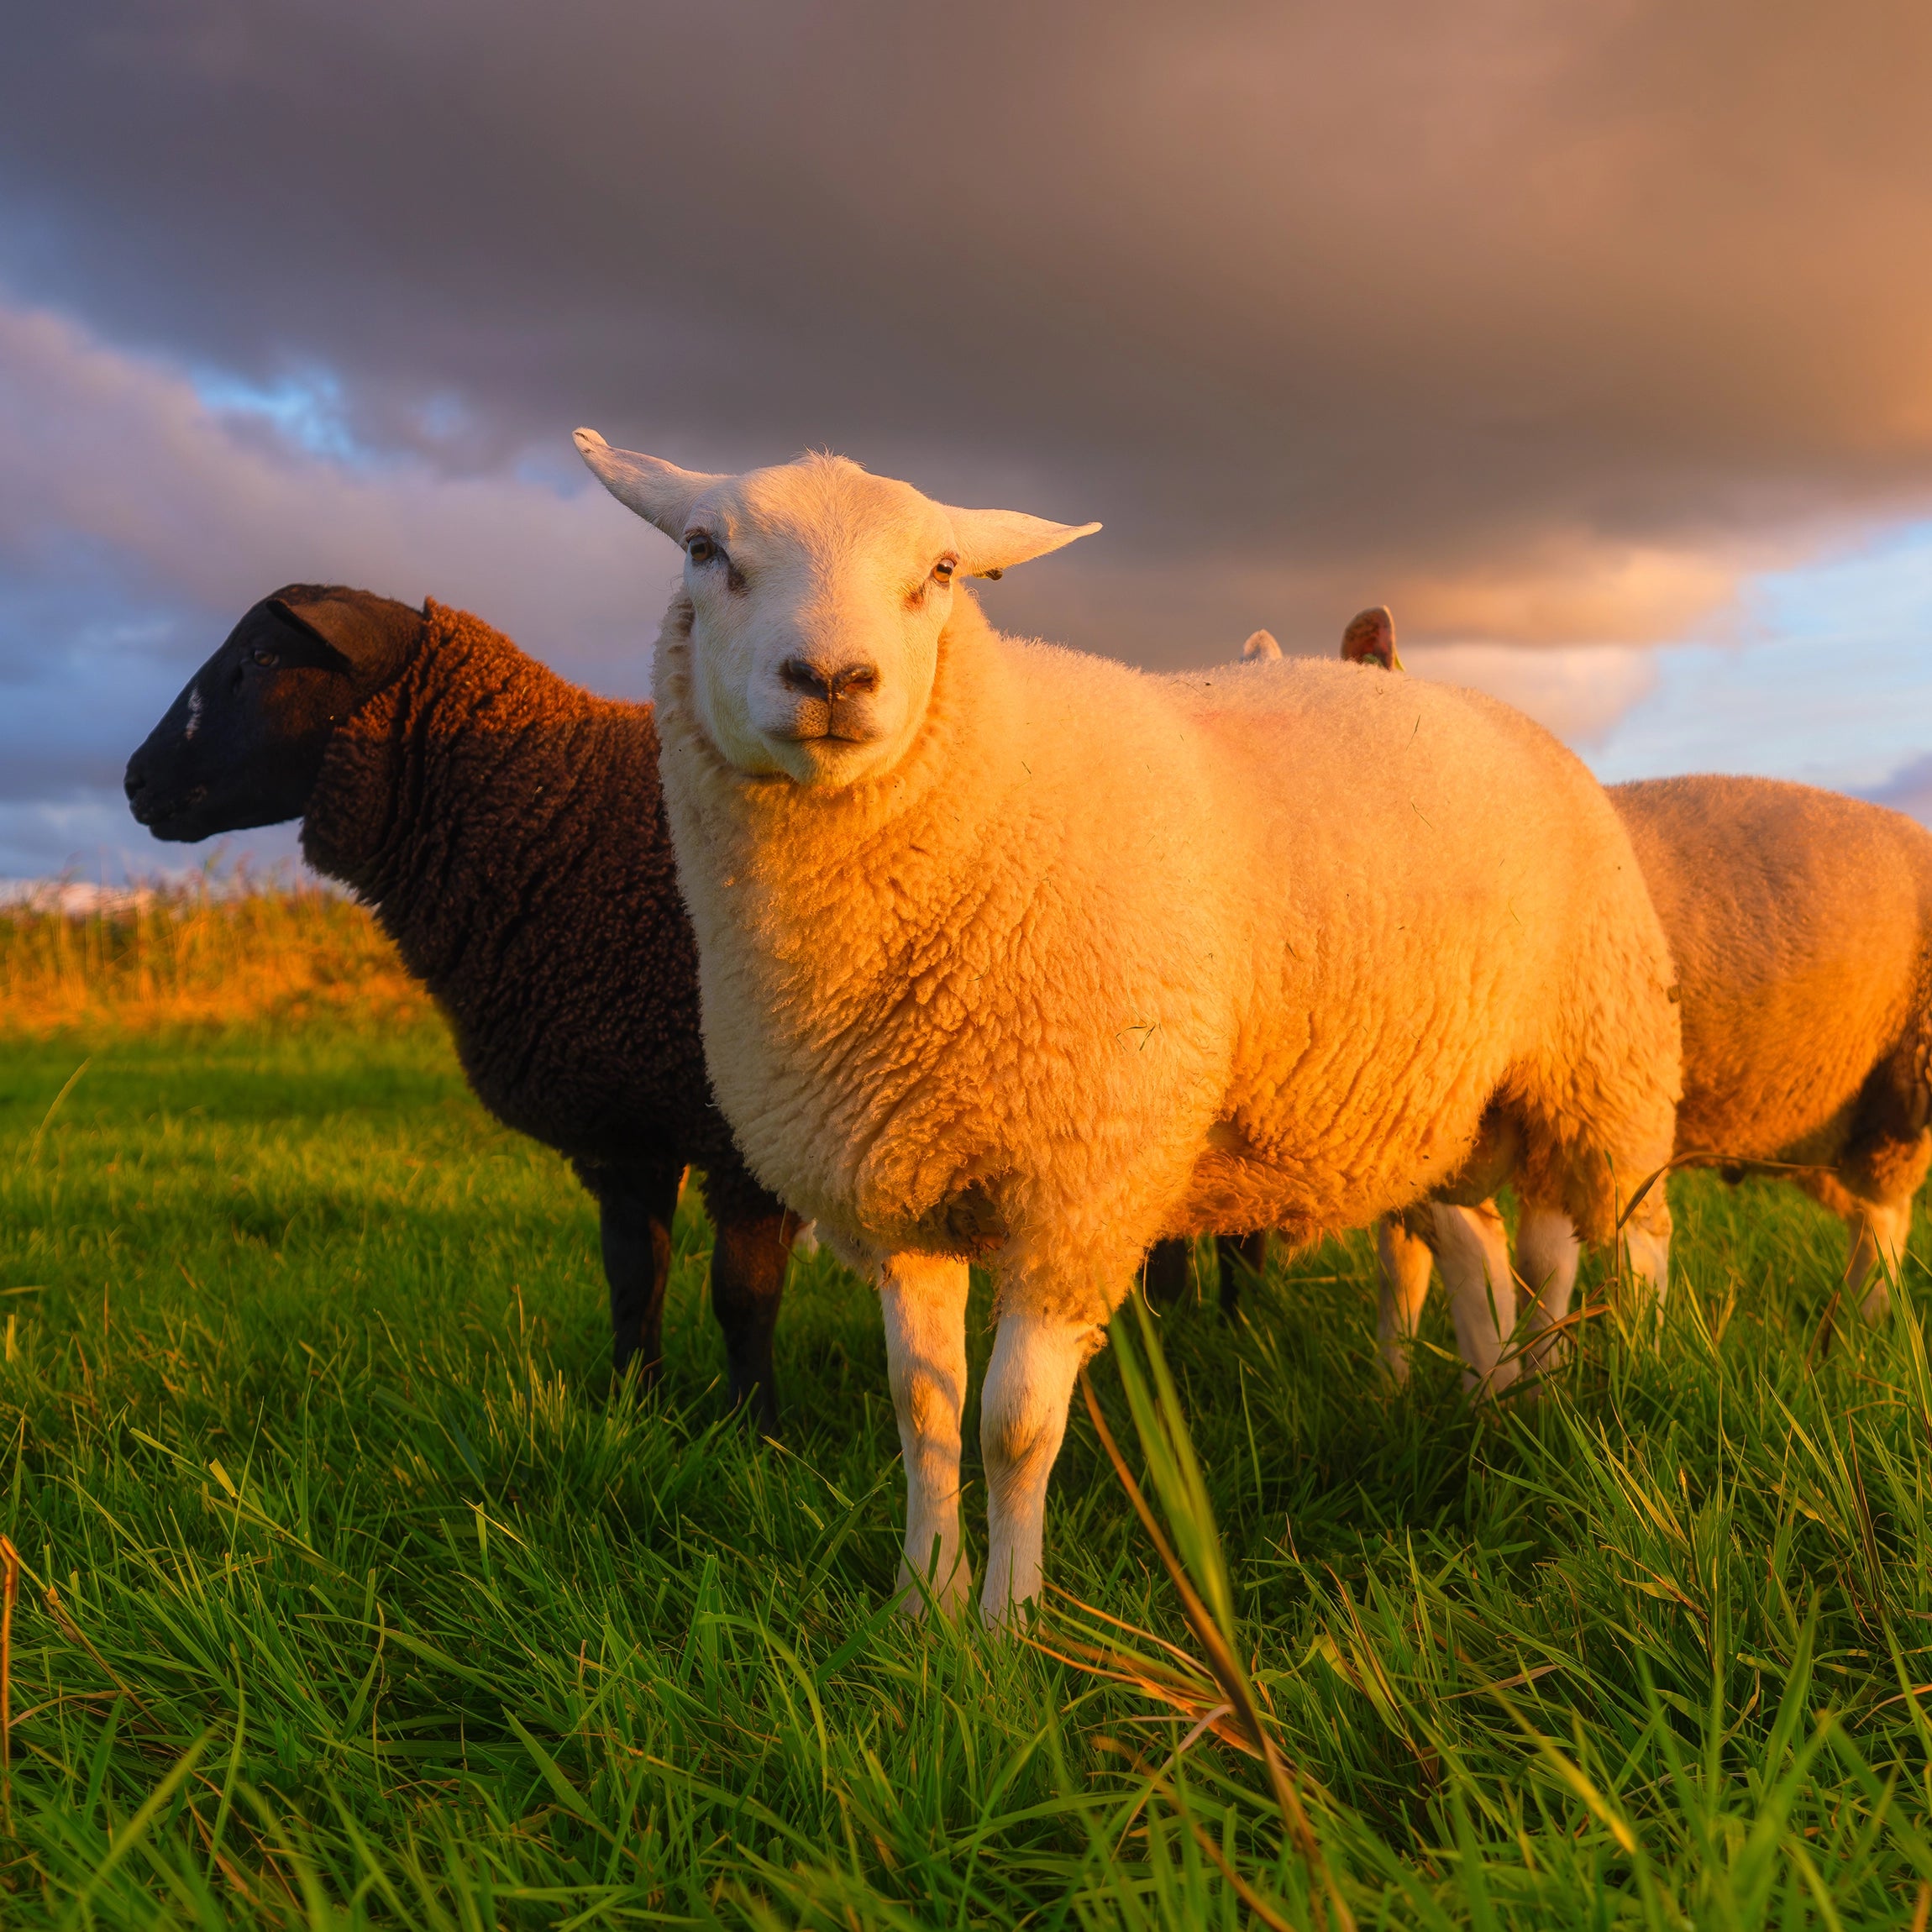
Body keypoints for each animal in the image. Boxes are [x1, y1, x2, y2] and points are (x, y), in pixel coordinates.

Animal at [123, 586, 811, 1428]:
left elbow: (742, 1296)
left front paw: (755, 1437)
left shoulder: (752, 1131)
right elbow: (633, 1279)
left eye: (260, 658)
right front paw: (632, 1411)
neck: (563, 817)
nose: (136, 781)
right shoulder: (623, 1121)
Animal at [576, 431, 1682, 1619]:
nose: (831, 679)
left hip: (1601, 1056)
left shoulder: (1080, 1187)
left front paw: (1008, 1622)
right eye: (703, 550)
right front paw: (921, 1602)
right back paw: (1496, 1401)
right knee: (1478, 1251)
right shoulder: (895, 1189)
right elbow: (922, 1410)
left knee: (1629, 1236)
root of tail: (1485, 703)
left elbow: (1013, 1425)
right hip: (1441, 1105)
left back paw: (1634, 1380)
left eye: (941, 571)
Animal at [1337, 613, 1932, 1383]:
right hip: (1824, 1115)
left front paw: (1533, 1379)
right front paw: (1396, 1384)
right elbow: (1403, 1269)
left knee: (1887, 1219)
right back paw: (1843, 1337)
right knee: (1867, 1214)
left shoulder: (1562, 1106)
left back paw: (1862, 1326)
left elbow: (1536, 1263)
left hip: (1903, 1081)